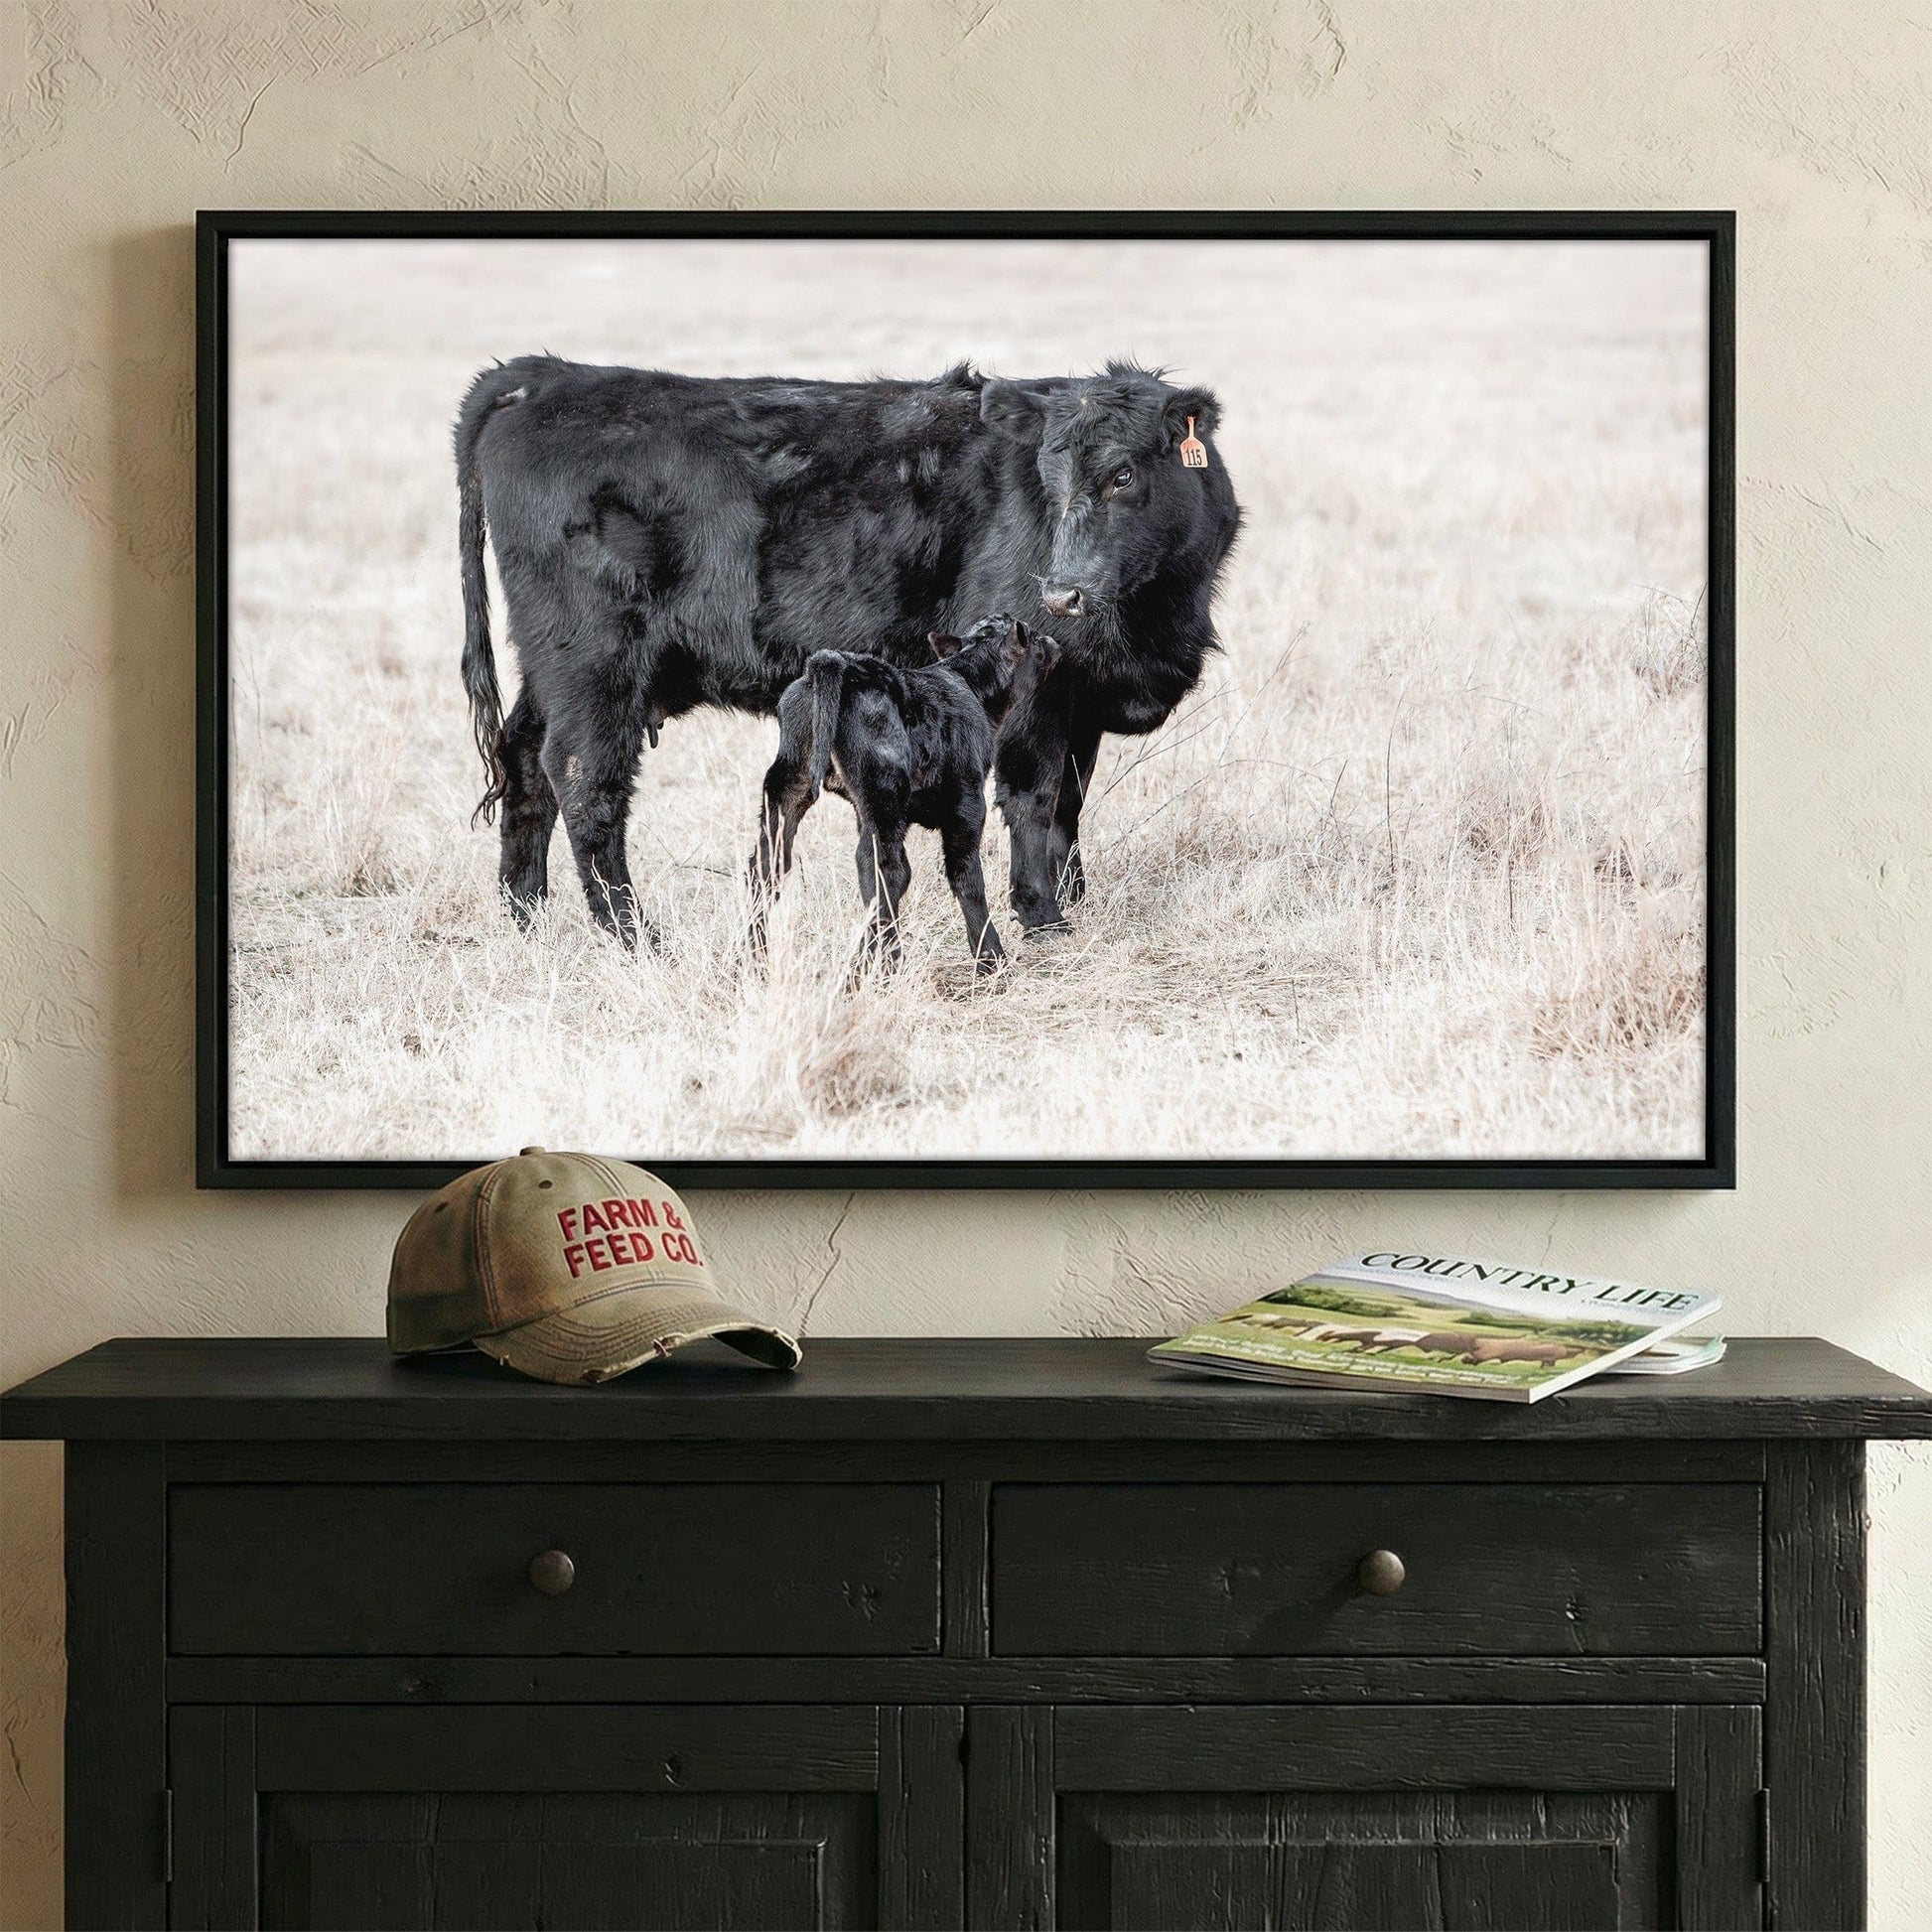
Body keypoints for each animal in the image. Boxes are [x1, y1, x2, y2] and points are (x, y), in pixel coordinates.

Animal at [747, 614, 1061, 973]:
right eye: (1033, 638)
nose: (1052, 641)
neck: (970, 683)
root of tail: (838, 663)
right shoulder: (968, 801)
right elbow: (965, 875)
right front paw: (990, 957)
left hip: (792, 782)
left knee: (768, 865)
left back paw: (754, 958)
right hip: (884, 789)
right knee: (883, 869)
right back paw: (880, 963)